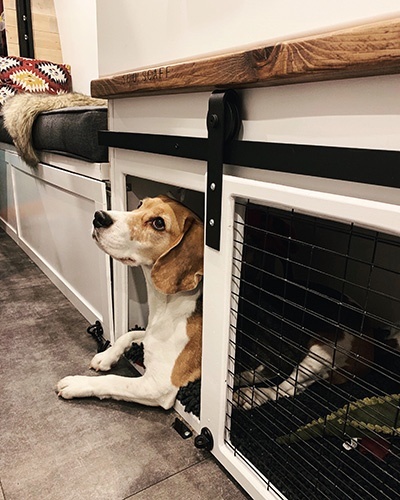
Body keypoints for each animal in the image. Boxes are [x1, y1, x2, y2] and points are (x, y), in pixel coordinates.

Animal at [56, 195, 203, 410]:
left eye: (159, 223)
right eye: (140, 204)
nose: (99, 216)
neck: (167, 305)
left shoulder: (157, 385)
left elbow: (114, 380)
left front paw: (78, 383)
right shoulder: (148, 334)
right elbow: (127, 334)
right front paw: (106, 356)